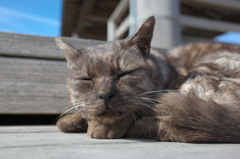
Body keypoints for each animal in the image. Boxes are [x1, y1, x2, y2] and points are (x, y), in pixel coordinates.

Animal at [54, 16, 240, 143]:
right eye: (86, 79)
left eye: (124, 73)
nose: (105, 95)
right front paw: (72, 119)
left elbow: (136, 109)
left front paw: (104, 127)